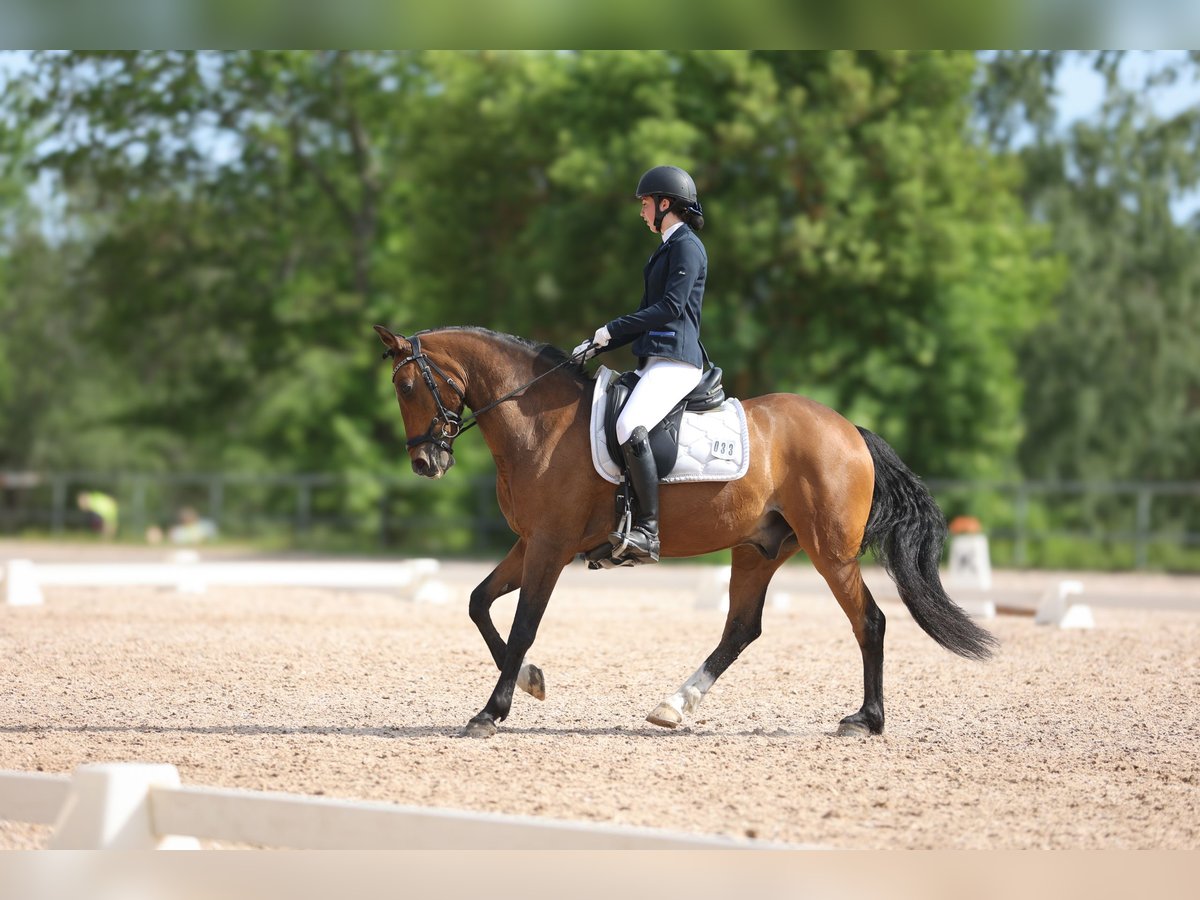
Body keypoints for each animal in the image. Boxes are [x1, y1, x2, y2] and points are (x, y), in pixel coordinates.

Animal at [374, 324, 995, 738]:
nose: (426, 463)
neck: (537, 422)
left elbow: (524, 623)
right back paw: (674, 705)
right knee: (742, 628)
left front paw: (492, 710)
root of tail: (849, 430)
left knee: (869, 621)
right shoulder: (530, 542)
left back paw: (866, 720)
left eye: (407, 388)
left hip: (831, 552)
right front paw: (529, 681)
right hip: (759, 548)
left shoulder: (550, 546)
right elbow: (479, 602)